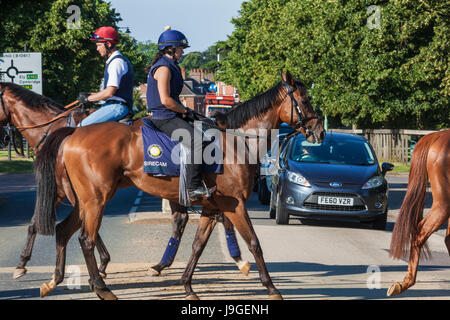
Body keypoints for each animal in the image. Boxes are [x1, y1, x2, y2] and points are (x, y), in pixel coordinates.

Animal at [0, 82, 250, 284]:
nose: (5, 139)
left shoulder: (70, 192)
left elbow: (55, 223)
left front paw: (101, 263)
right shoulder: (72, 192)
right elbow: (43, 222)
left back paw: (236, 259)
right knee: (189, 218)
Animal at [33, 70, 326, 300]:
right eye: (305, 100)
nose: (320, 131)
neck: (236, 141)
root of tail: (75, 132)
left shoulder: (212, 207)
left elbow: (198, 244)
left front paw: (187, 286)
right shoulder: (234, 205)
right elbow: (254, 242)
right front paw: (271, 287)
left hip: (84, 200)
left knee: (63, 230)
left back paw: (54, 281)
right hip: (96, 199)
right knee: (86, 239)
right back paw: (101, 288)